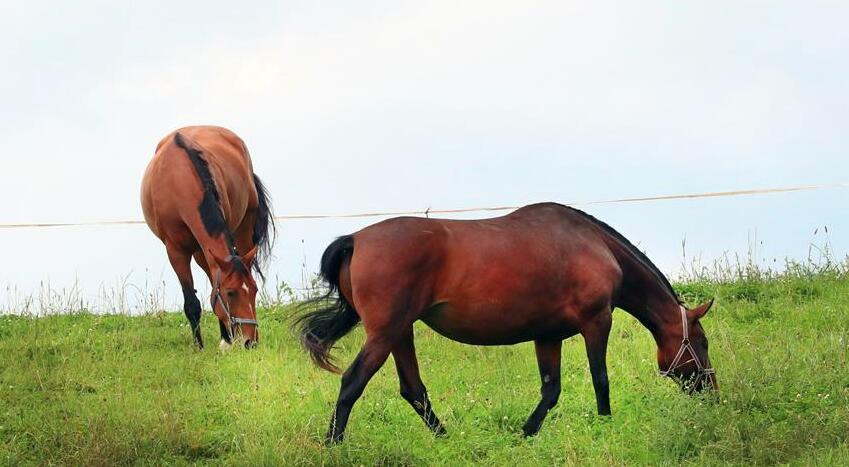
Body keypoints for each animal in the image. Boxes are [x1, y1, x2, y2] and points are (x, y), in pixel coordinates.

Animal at [142, 126, 274, 350]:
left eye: (255, 290)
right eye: (230, 293)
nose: (250, 341)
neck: (178, 180)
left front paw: (225, 341)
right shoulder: (176, 251)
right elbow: (192, 302)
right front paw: (199, 347)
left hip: (242, 229)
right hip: (199, 251)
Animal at [296, 204, 716, 442]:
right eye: (702, 343)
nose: (711, 389)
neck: (594, 245)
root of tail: (355, 239)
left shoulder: (548, 336)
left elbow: (550, 390)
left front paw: (525, 435)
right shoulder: (597, 322)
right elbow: (600, 380)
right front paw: (604, 427)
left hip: (400, 333)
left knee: (413, 390)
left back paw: (448, 440)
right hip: (384, 334)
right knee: (352, 383)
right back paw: (334, 444)